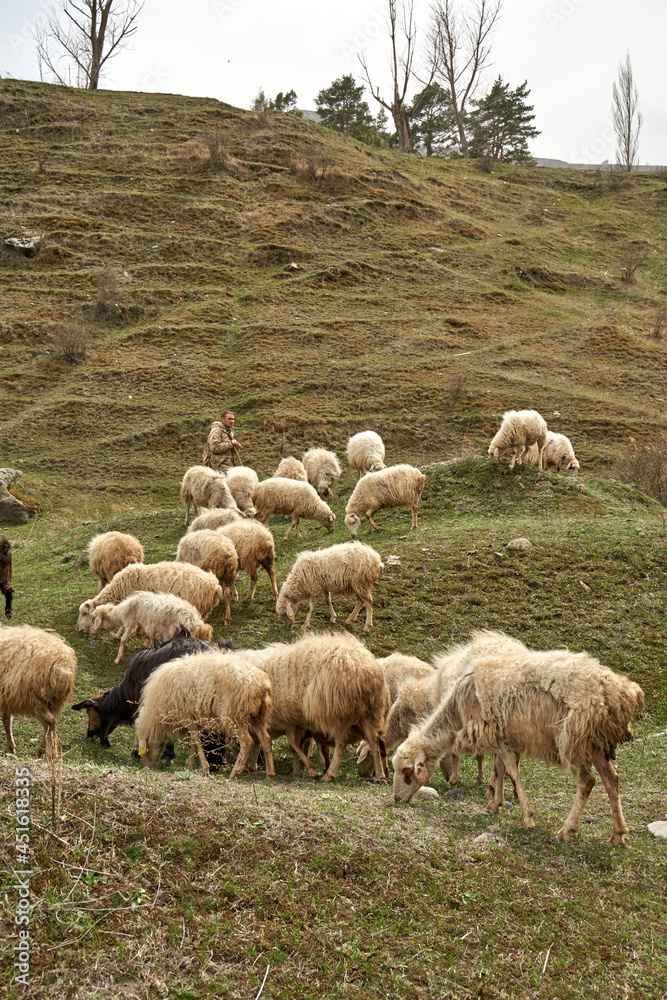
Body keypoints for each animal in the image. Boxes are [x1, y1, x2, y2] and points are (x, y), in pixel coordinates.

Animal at [0, 626, 77, 755]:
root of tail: (62, 665)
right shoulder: (7, 697)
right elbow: (6, 721)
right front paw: (11, 748)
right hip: (52, 701)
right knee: (49, 724)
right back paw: (41, 750)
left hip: (35, 700)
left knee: (50, 723)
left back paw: (52, 754)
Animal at [134, 650, 275, 779]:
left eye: (142, 752)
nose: (147, 767)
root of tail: (261, 684)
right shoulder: (194, 720)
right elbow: (192, 742)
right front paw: (189, 766)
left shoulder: (186, 717)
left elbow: (196, 741)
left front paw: (204, 768)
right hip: (257, 716)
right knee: (266, 740)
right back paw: (270, 774)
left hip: (234, 715)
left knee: (247, 742)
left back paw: (235, 772)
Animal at [243, 632, 390, 781]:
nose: (249, 768)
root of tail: (367, 669)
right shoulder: (296, 723)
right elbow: (295, 745)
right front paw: (298, 771)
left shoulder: (288, 722)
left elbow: (293, 745)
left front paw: (306, 770)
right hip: (368, 713)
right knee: (374, 740)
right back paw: (380, 775)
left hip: (337, 712)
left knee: (341, 743)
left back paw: (329, 775)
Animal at [392, 630, 644, 844]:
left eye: (407, 771)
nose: (395, 799)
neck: (457, 710)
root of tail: (625, 693)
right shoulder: (502, 739)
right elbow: (501, 770)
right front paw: (495, 804)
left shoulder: (501, 741)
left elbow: (512, 773)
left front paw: (527, 817)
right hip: (595, 742)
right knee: (612, 779)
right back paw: (618, 834)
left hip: (574, 739)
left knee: (586, 781)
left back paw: (567, 830)